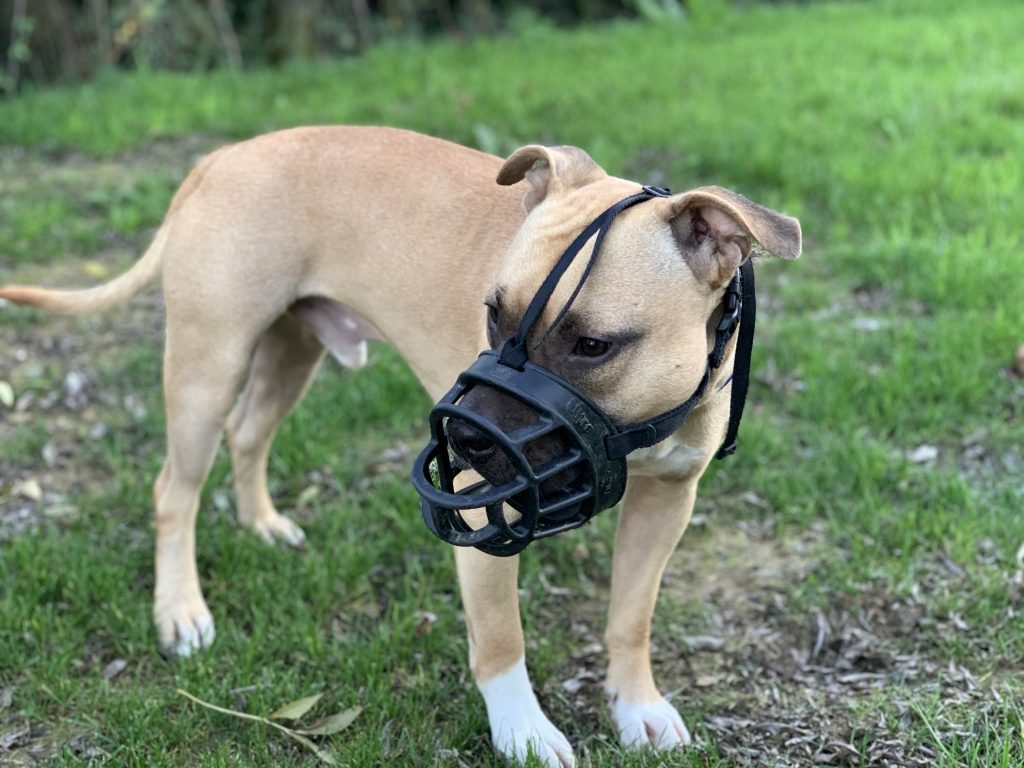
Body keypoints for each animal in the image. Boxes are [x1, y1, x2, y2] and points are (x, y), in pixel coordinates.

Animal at [0, 128, 798, 768]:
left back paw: (263, 524)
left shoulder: (666, 504)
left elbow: (631, 617)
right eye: (490, 311)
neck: (632, 425)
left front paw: (637, 708)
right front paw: (523, 734)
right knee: (175, 490)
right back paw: (181, 611)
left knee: (249, 434)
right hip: (208, 365)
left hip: (290, 351)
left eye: (593, 345)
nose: (465, 434)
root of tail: (220, 157)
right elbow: (500, 640)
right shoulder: (481, 515)